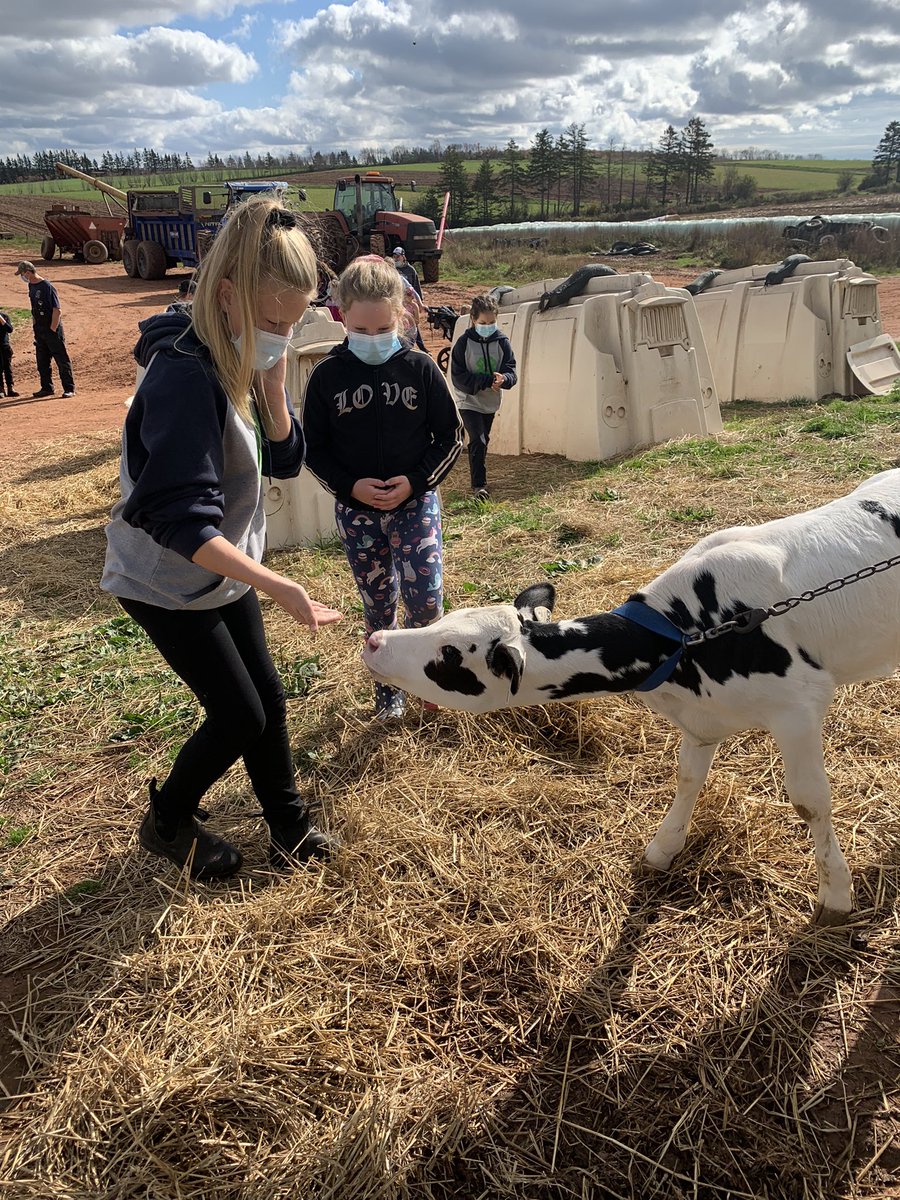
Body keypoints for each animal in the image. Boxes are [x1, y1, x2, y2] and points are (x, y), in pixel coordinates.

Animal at [362, 472, 900, 921]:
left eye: (448, 652)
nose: (375, 640)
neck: (681, 638)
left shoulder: (797, 708)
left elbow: (810, 801)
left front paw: (836, 895)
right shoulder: (701, 722)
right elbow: (687, 778)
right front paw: (664, 847)